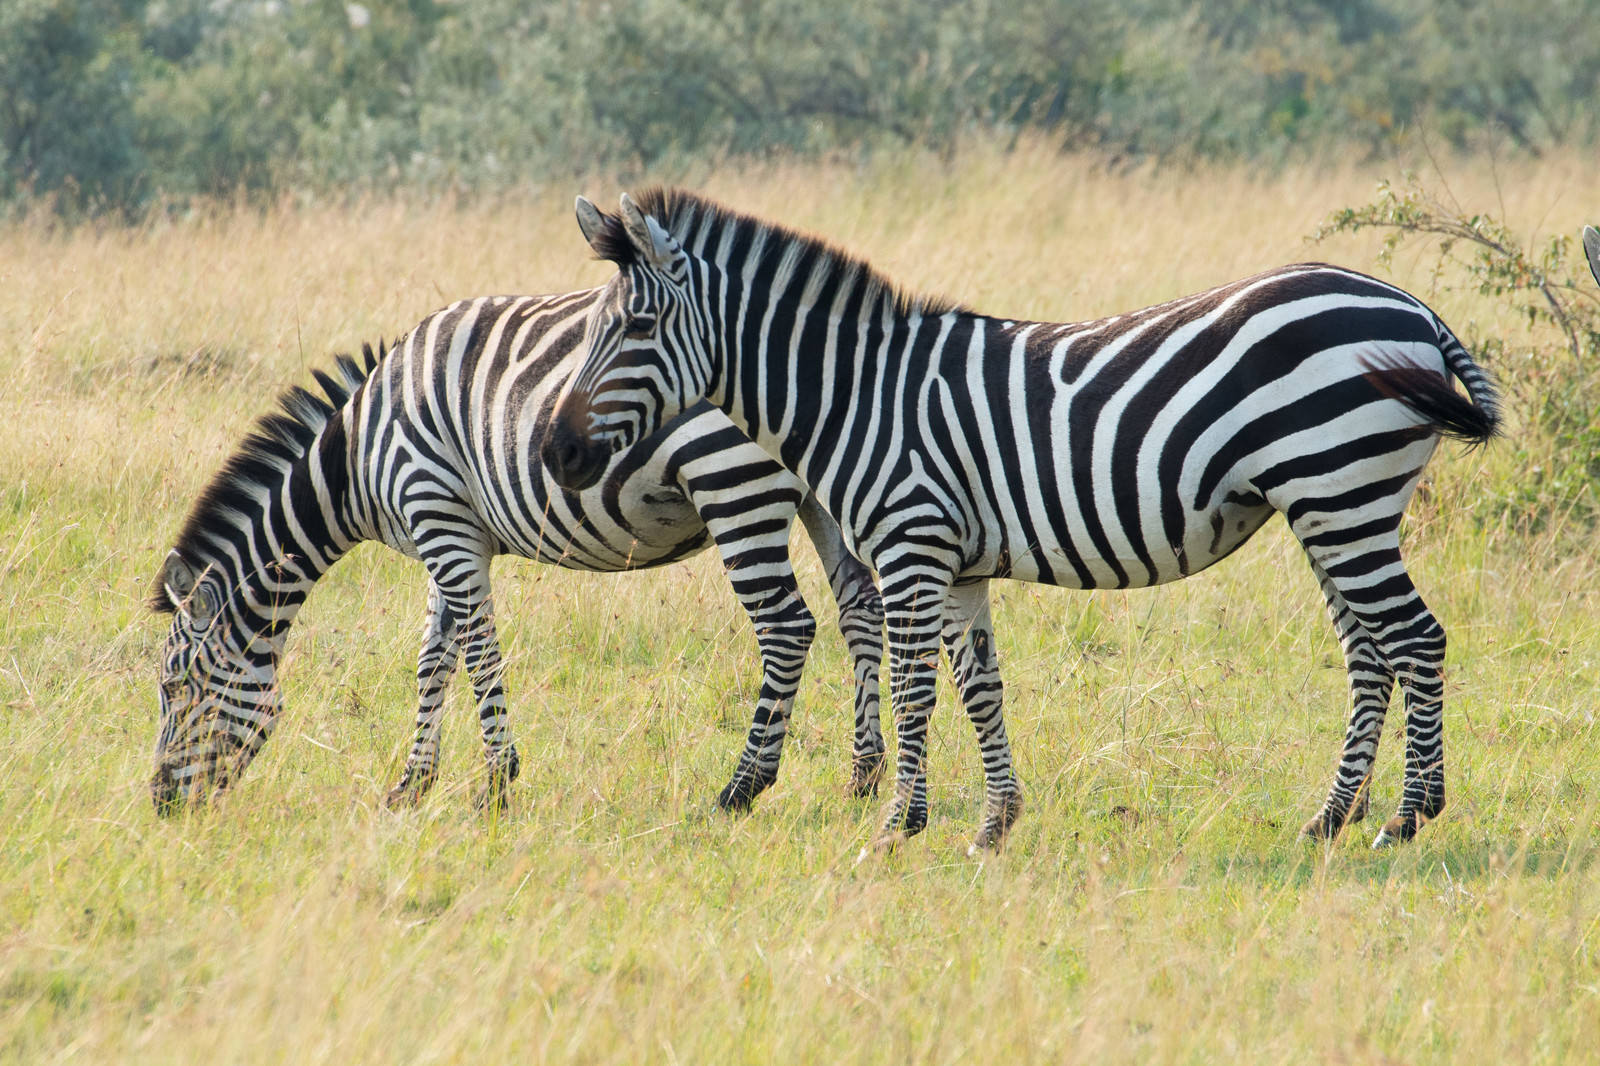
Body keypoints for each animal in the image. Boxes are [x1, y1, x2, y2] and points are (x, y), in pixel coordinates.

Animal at [150, 288, 889, 813]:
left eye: (175, 686)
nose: (161, 805)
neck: (356, 459)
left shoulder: (439, 516)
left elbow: (478, 652)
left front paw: (498, 786)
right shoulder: (448, 533)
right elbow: (433, 659)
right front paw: (411, 786)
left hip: (733, 483)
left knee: (787, 627)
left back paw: (742, 788)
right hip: (820, 493)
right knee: (860, 609)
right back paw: (864, 776)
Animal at [547, 191, 1497, 851]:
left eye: (635, 326)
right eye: (596, 327)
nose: (557, 451)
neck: (858, 393)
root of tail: (1412, 304)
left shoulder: (911, 542)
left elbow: (915, 687)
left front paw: (898, 826)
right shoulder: (957, 561)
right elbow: (979, 686)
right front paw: (994, 824)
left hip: (1342, 492)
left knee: (1416, 638)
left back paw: (1408, 817)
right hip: (1328, 505)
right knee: (1370, 651)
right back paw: (1331, 818)